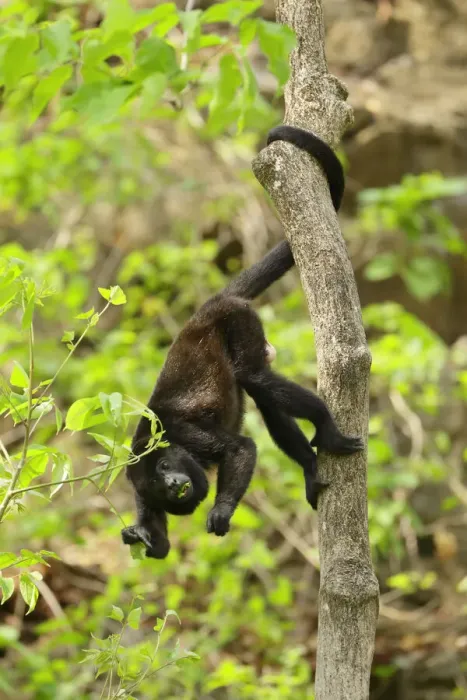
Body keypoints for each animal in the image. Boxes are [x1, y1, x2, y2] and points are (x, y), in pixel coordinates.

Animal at [121, 125, 363, 559]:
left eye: (164, 468)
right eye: (159, 487)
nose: (172, 484)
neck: (163, 446)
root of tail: (207, 307)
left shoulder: (184, 435)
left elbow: (241, 449)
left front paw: (221, 508)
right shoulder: (140, 490)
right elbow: (161, 546)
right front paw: (143, 536)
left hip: (237, 318)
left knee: (255, 377)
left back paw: (326, 427)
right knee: (263, 394)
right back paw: (309, 466)